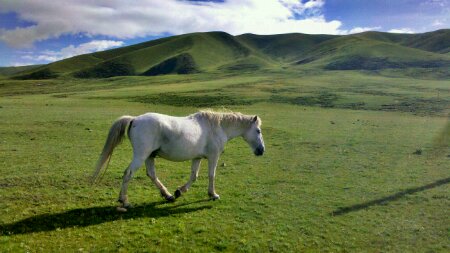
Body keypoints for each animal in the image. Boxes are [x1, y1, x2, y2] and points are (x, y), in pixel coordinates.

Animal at [92, 109, 266, 209]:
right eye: (258, 131)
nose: (261, 150)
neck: (217, 127)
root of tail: (135, 119)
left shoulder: (197, 158)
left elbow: (194, 176)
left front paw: (179, 192)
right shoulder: (213, 156)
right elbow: (211, 175)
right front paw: (213, 194)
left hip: (149, 156)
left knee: (152, 174)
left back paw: (168, 195)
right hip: (141, 155)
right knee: (128, 174)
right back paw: (125, 201)